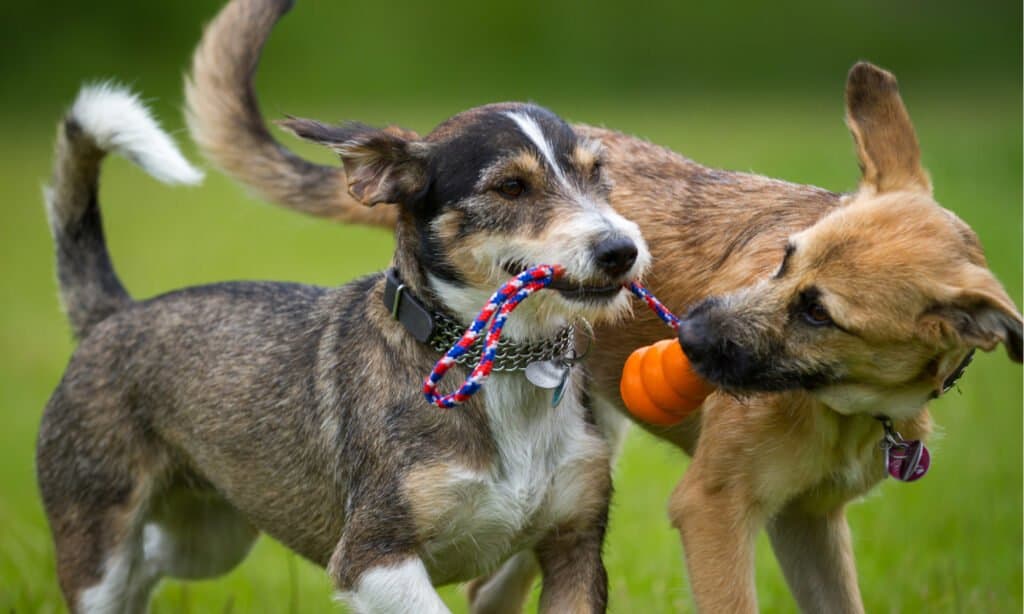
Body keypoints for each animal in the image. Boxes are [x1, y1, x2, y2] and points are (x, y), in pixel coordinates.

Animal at [39, 79, 651, 609]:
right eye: (511, 187)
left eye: (598, 174)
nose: (622, 249)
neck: (502, 365)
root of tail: (115, 313)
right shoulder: (370, 558)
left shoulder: (575, 547)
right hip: (100, 541)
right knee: (118, 576)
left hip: (211, 536)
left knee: (149, 564)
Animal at [184, 0, 1024, 609]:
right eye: (784, 258)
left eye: (820, 313)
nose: (689, 333)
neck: (848, 407)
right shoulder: (713, 509)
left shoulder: (810, 523)